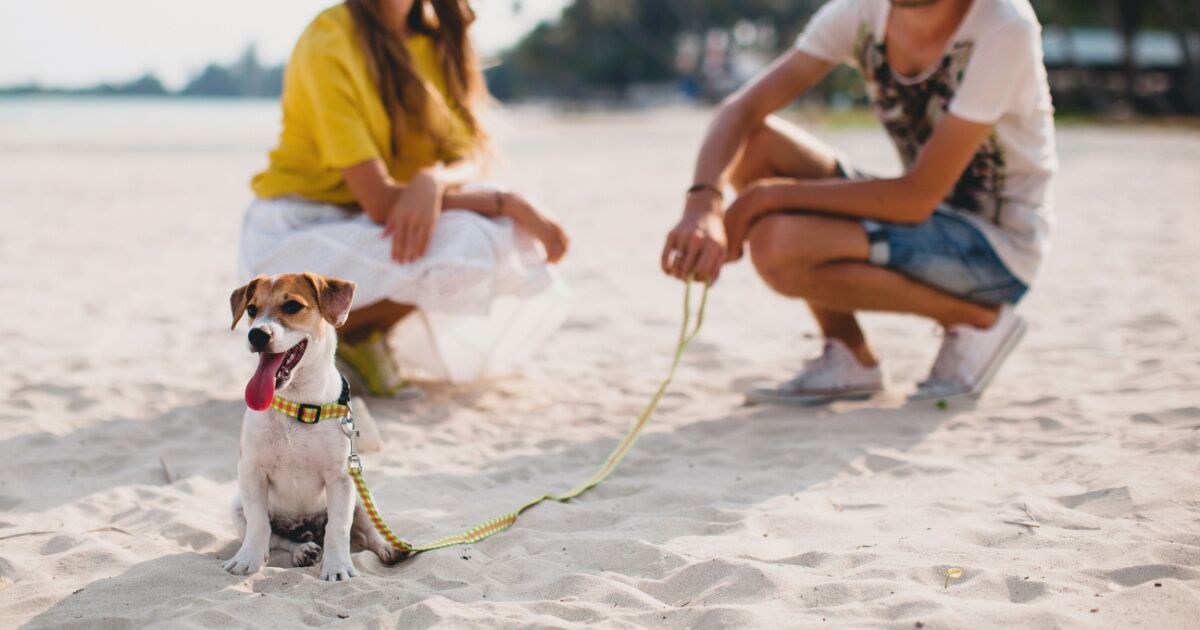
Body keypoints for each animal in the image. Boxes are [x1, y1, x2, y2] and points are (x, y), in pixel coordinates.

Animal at [225, 270, 408, 580]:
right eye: (251, 309)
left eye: (291, 306)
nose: (256, 334)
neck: (297, 405)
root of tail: (306, 527)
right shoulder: (251, 472)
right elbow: (259, 524)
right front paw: (248, 559)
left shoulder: (341, 476)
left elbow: (339, 528)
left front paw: (337, 567)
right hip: (236, 507)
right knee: (278, 538)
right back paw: (302, 550)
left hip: (361, 493)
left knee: (368, 528)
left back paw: (388, 547)